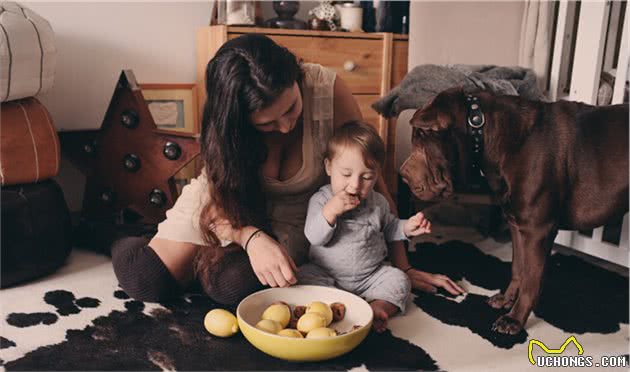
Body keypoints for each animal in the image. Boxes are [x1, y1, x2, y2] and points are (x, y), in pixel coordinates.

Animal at [402, 86, 628, 334]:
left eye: (421, 140)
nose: (402, 175)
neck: (482, 128)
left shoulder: (537, 230)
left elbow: (531, 278)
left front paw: (516, 319)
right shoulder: (517, 226)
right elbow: (518, 269)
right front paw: (507, 300)